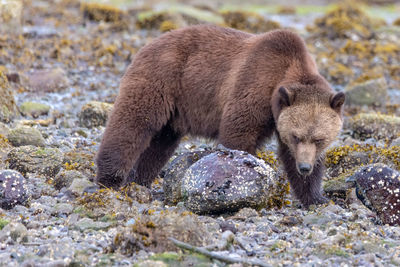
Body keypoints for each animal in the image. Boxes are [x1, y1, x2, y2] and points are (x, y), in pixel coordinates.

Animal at [95, 25, 346, 208]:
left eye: (319, 139)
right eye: (296, 136)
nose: (304, 166)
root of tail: (148, 44)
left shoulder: (281, 118)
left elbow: (292, 157)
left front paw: (316, 197)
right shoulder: (253, 87)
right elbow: (238, 134)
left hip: (174, 111)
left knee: (160, 143)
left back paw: (140, 179)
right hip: (159, 80)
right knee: (132, 124)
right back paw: (110, 178)